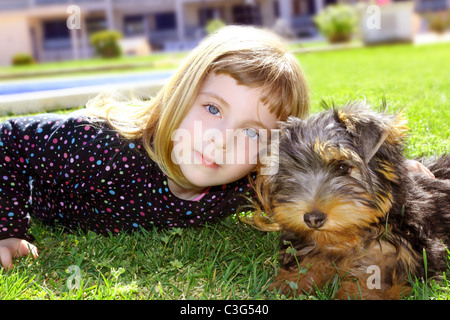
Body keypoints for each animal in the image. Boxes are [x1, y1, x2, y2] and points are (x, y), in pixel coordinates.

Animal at [251, 102, 448, 300]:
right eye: (291, 173)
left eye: (343, 167)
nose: (312, 219)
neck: (347, 237)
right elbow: (308, 259)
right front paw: (289, 282)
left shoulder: (407, 249)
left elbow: (381, 270)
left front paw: (358, 292)